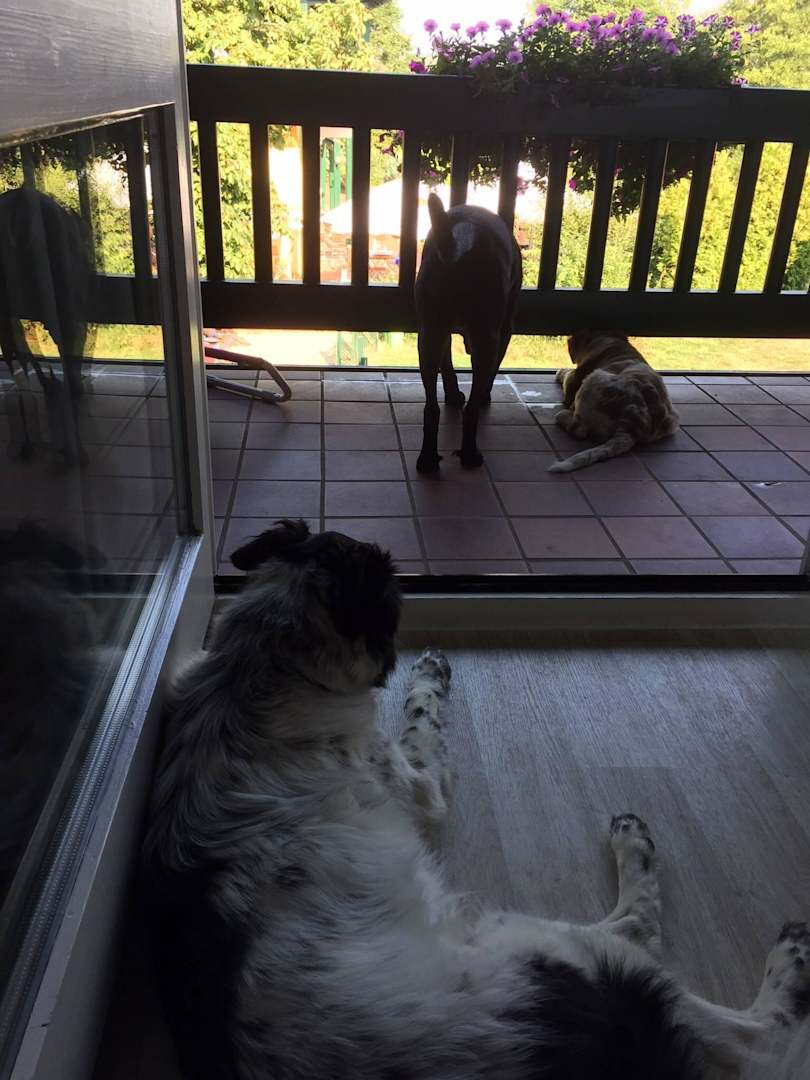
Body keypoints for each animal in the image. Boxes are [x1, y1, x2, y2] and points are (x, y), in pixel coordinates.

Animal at [142, 520, 809, 1080]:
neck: (259, 668)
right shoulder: (416, 783)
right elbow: (421, 716)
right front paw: (430, 673)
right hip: (555, 949)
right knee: (713, 997)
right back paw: (769, 939)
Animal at [414, 194, 522, 473]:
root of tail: (461, 241)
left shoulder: (438, 332)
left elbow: (448, 365)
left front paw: (453, 395)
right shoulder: (504, 330)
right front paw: (484, 394)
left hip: (428, 338)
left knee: (431, 408)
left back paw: (427, 460)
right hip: (487, 339)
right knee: (471, 410)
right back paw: (471, 454)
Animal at [548, 330, 680, 473]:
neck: (610, 340)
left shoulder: (575, 378)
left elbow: (567, 375)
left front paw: (560, 371)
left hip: (594, 377)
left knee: (579, 429)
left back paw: (563, 415)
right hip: (672, 420)